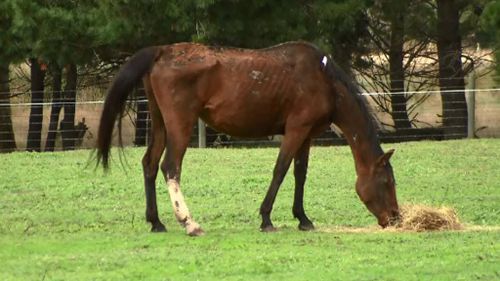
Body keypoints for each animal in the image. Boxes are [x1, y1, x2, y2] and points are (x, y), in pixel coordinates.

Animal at [96, 41, 402, 234]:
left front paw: (302, 218)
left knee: (149, 164)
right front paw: (266, 218)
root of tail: (162, 51)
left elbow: (299, 174)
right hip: (179, 126)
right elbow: (280, 170)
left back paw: (156, 222)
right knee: (170, 167)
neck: (323, 79)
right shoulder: (296, 130)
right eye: (386, 182)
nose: (395, 218)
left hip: (160, 124)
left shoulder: (307, 136)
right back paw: (189, 223)